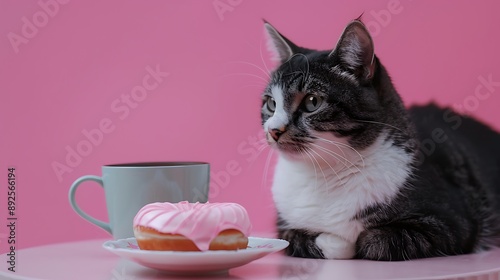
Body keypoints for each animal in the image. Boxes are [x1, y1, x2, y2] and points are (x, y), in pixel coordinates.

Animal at [262, 19, 500, 260]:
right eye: (271, 103)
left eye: (312, 102)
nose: (274, 130)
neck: (322, 174)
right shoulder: (283, 225)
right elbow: (294, 237)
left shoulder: (451, 223)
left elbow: (373, 239)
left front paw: (343, 241)